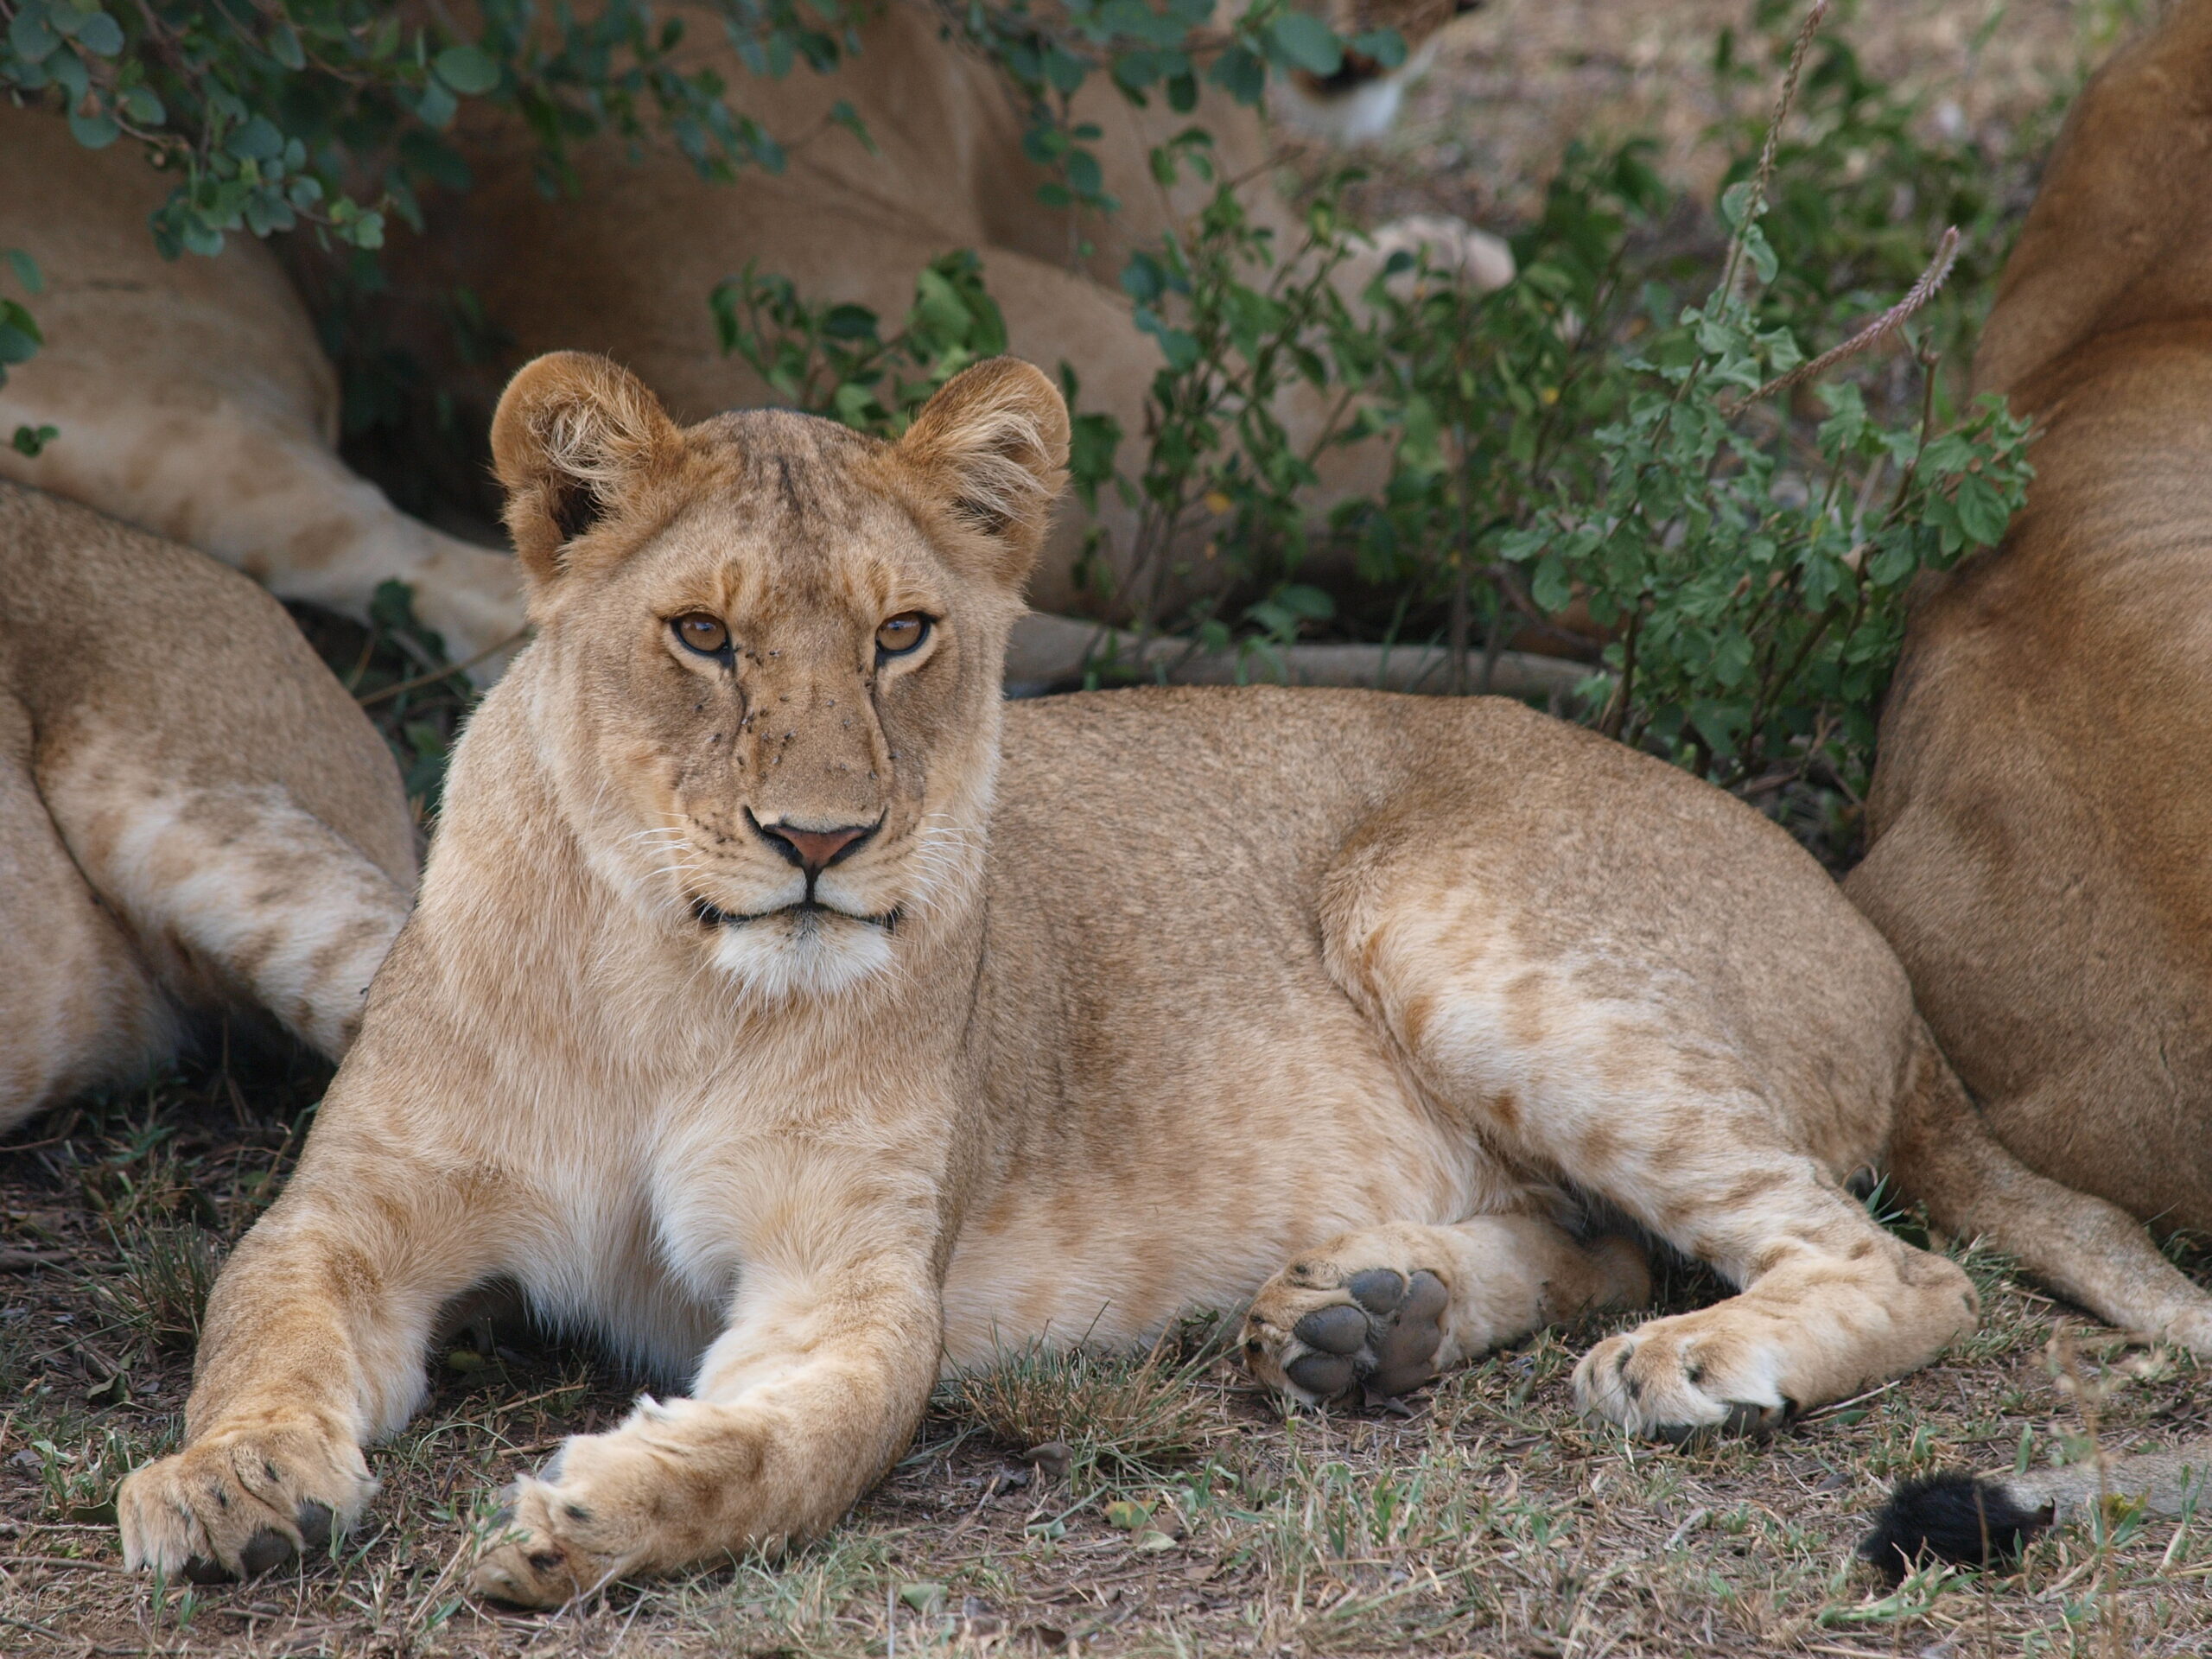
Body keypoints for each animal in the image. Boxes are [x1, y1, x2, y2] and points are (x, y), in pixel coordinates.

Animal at [116, 352, 2212, 1605]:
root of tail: (1880, 954)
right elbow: (257, 1332)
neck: (668, 978)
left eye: (903, 636)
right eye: (698, 636)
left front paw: (593, 1520)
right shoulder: (352, 1212)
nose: (818, 843)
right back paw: (1368, 1320)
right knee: (1612, 1232)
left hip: (1443, 912)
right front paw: (225, 1489)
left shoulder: (851, 1284)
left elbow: (785, 1451)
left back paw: (1684, 1361)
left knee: (1883, 1265)